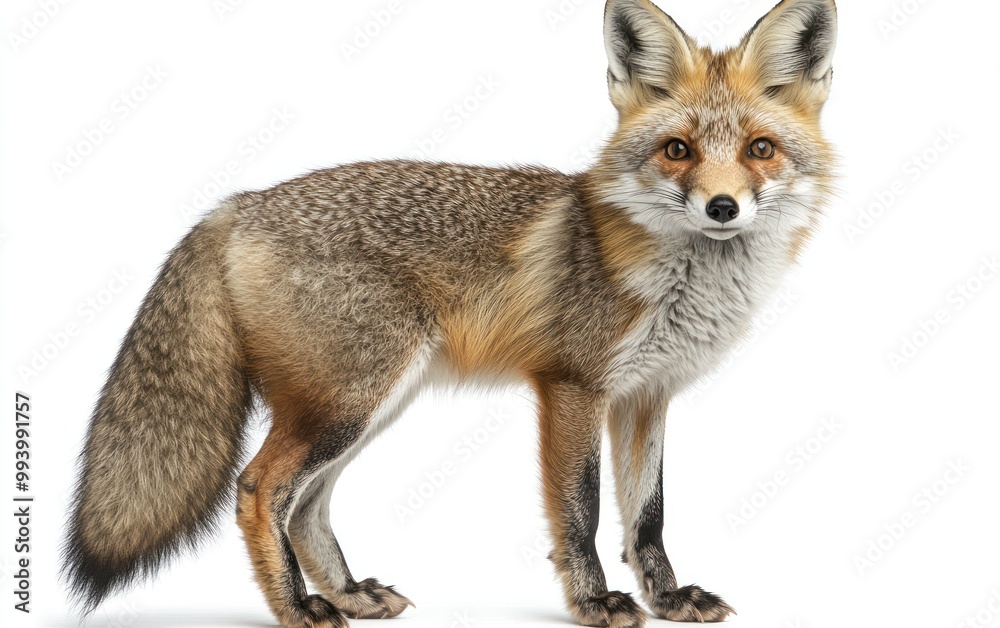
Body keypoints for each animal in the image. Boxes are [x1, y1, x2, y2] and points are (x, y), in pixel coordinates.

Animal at [63, 1, 838, 626]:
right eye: (678, 150)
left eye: (760, 150)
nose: (722, 208)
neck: (678, 283)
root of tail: (236, 204)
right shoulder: (573, 387)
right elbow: (583, 511)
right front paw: (594, 602)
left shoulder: (647, 395)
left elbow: (647, 516)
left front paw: (670, 598)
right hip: (346, 403)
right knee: (258, 490)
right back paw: (299, 608)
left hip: (365, 408)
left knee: (307, 505)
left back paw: (347, 594)